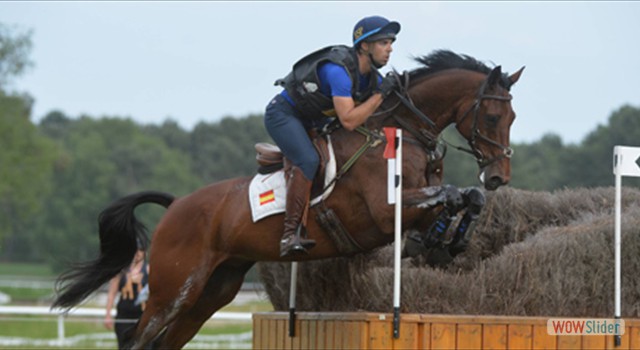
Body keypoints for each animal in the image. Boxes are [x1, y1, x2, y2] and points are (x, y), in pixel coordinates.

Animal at [53, 50, 524, 348]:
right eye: (493, 116)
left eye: (513, 116)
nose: (499, 175)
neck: (402, 131)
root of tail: (177, 205)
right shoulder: (382, 211)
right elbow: (449, 195)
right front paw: (442, 240)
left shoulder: (414, 205)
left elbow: (464, 198)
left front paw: (446, 242)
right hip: (173, 291)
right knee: (140, 339)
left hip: (212, 292)